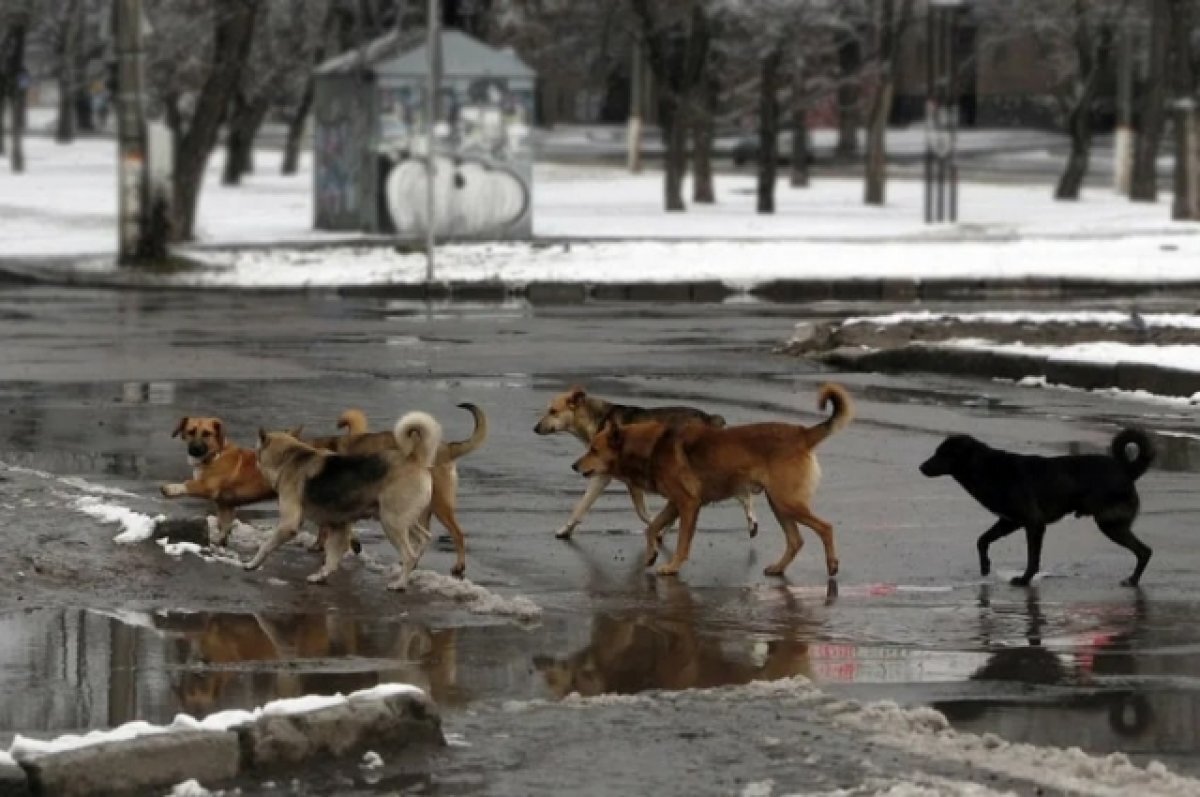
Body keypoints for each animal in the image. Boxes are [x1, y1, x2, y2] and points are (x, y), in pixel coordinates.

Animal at [246, 412, 444, 588]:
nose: (254, 462)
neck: (290, 456)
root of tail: (414, 459)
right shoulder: (338, 526)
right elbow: (332, 559)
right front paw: (321, 576)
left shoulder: (289, 525)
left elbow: (266, 545)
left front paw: (252, 564)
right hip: (401, 520)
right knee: (424, 538)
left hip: (391, 522)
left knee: (409, 555)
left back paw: (400, 584)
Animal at [309, 400, 487, 576]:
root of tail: (447, 448)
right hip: (418, 509)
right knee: (422, 537)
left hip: (438, 505)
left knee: (457, 534)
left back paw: (459, 566)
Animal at [530, 386, 753, 537]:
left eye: (553, 411)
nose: (535, 428)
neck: (596, 418)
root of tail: (709, 418)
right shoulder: (619, 479)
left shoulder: (607, 477)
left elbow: (585, 505)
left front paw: (564, 530)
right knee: (741, 492)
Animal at [571, 384, 854, 576]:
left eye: (594, 450)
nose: (574, 466)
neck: (649, 446)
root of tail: (802, 433)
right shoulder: (674, 504)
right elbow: (652, 528)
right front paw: (651, 555)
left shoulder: (687, 505)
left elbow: (681, 541)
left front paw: (672, 566)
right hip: (779, 504)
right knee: (796, 540)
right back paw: (778, 568)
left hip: (786, 502)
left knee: (825, 528)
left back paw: (832, 565)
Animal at [916, 429, 1152, 585]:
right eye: (937, 451)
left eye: (943, 453)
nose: (921, 467)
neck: (986, 467)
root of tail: (1126, 470)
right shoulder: (1009, 521)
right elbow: (982, 540)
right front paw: (985, 566)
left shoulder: (1034, 524)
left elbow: (1032, 558)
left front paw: (1024, 579)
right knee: (1144, 551)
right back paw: (1133, 580)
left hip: (1110, 524)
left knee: (1144, 551)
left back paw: (1132, 580)